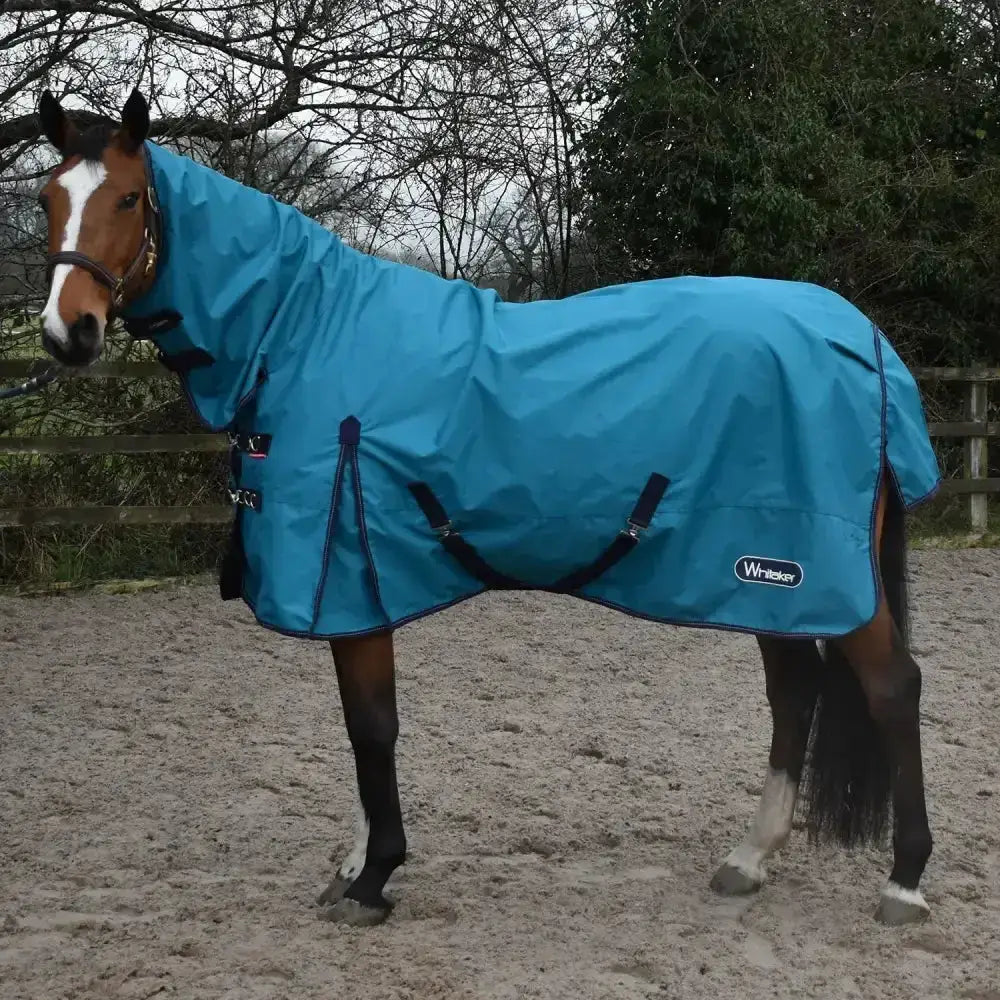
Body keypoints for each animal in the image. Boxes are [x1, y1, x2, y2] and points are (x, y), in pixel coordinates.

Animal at [34, 87, 940, 928]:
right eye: (46, 197)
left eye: (128, 198)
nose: (66, 333)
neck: (306, 332)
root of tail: (862, 340)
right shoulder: (357, 588)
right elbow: (359, 729)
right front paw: (355, 863)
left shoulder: (354, 577)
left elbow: (373, 728)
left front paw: (374, 877)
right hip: (761, 578)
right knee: (795, 691)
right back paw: (750, 858)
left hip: (809, 573)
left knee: (893, 687)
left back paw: (904, 882)